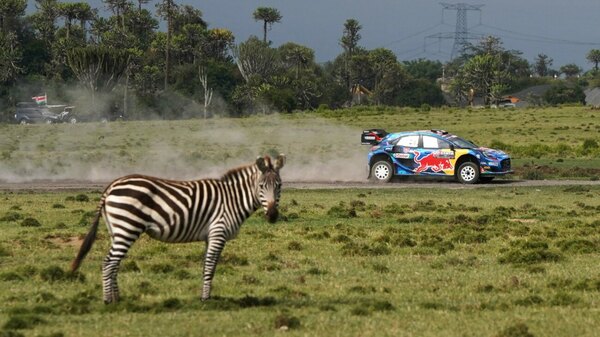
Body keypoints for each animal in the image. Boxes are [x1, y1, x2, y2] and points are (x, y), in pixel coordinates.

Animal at [70, 154, 286, 302]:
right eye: (261, 186)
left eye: (279, 186)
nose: (273, 215)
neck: (232, 199)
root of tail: (111, 186)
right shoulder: (218, 232)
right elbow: (210, 266)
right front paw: (206, 299)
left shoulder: (210, 236)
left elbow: (207, 266)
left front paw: (204, 295)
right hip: (127, 227)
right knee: (109, 263)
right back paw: (109, 301)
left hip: (117, 230)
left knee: (114, 263)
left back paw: (118, 298)